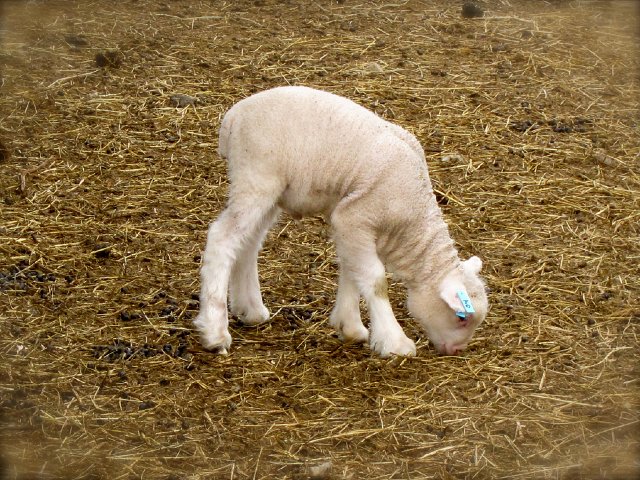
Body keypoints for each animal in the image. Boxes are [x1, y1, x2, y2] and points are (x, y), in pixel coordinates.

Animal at [193, 86, 488, 357]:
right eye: (462, 318)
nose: (456, 350)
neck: (411, 222)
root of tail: (233, 117)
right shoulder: (356, 217)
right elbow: (376, 280)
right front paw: (394, 342)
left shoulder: (352, 225)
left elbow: (352, 269)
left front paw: (350, 326)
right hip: (257, 177)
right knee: (222, 238)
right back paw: (215, 332)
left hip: (270, 191)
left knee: (248, 242)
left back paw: (250, 310)